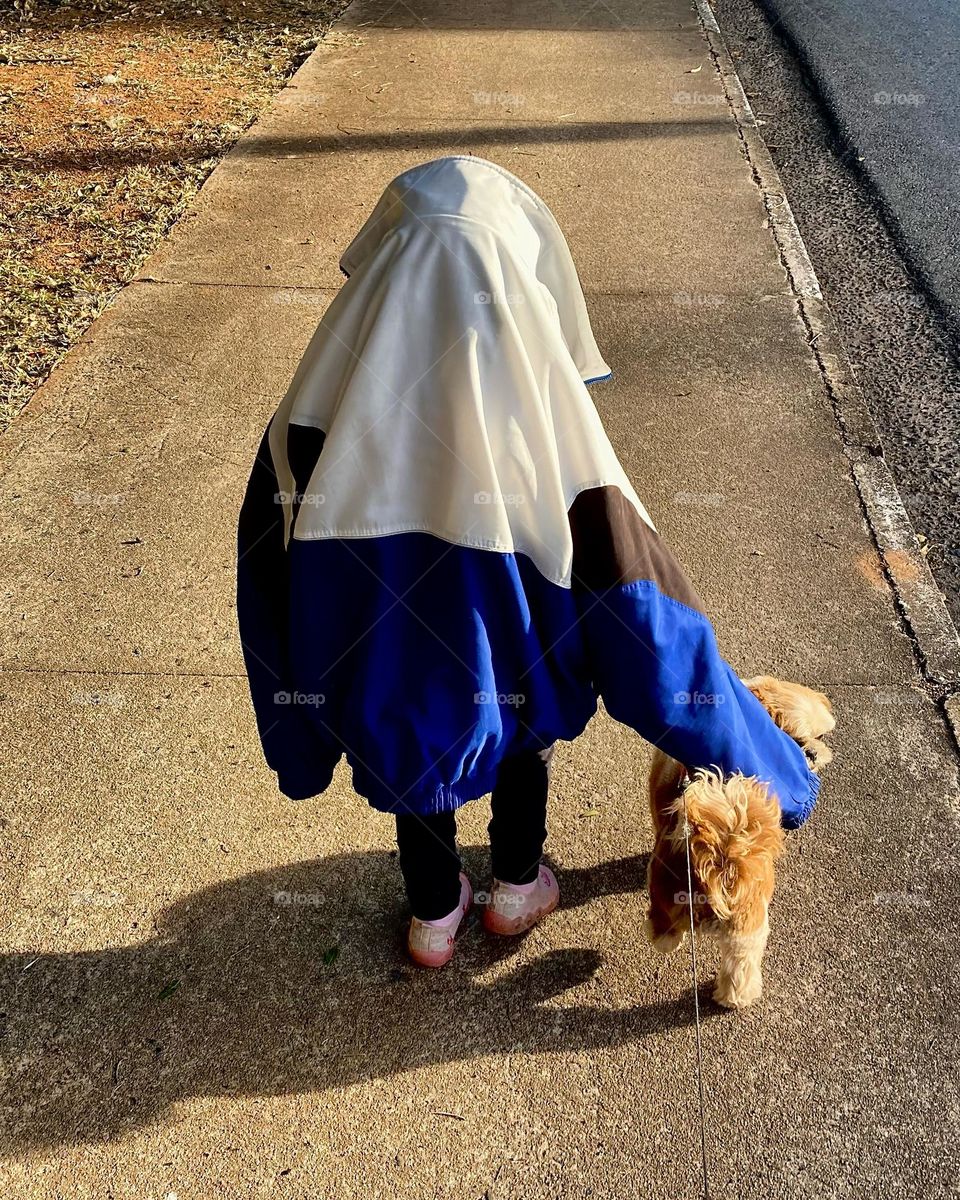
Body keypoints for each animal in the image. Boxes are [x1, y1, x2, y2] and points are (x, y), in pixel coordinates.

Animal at [643, 681, 830, 1008]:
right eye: (796, 739)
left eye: (819, 737)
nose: (811, 753)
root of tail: (723, 863)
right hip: (748, 932)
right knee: (740, 970)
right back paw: (734, 999)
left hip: (665, 893)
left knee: (664, 933)